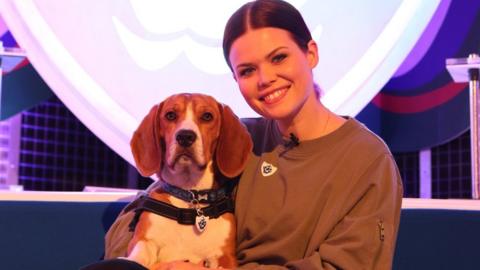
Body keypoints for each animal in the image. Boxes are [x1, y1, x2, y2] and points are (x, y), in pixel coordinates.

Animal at [125, 92, 253, 268]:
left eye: (207, 116)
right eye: (170, 115)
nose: (185, 136)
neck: (189, 197)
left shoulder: (227, 256)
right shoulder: (144, 239)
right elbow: (140, 251)